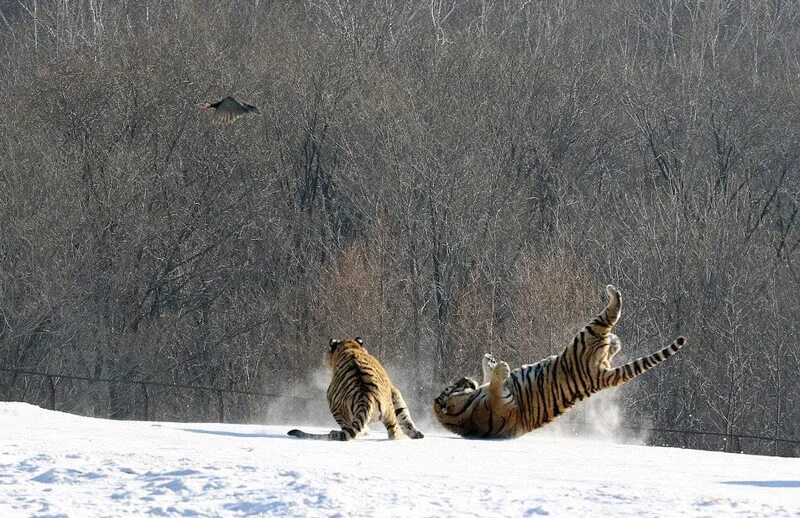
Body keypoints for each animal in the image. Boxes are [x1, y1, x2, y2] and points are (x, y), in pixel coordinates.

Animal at [288, 342, 424, 442]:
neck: (350, 347)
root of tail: (366, 396)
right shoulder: (394, 392)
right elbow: (404, 415)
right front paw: (417, 434)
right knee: (392, 430)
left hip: (333, 404)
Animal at [434, 286, 684, 440]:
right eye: (454, 386)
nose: (465, 378)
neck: (464, 412)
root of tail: (599, 375)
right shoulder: (502, 405)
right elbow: (496, 386)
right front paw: (501, 367)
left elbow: (489, 377)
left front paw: (490, 361)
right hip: (584, 339)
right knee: (611, 314)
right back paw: (613, 295)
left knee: (611, 342)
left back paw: (615, 340)